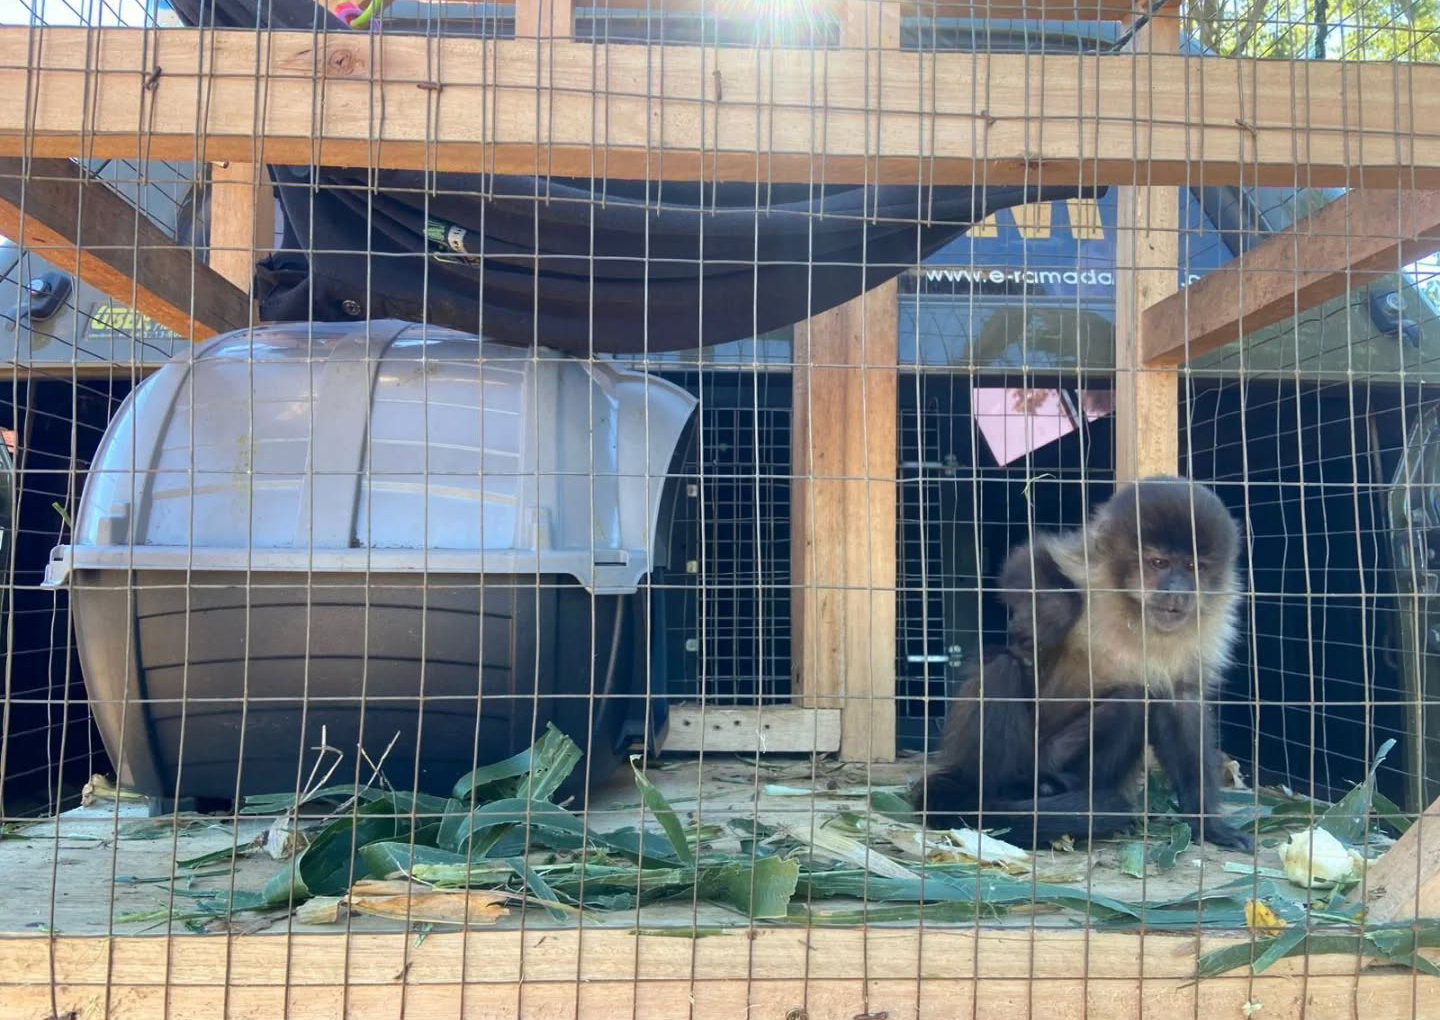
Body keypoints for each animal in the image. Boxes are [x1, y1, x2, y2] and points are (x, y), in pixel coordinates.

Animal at [909, 475, 1254, 853]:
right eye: (1159, 564)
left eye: (1193, 567)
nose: (1178, 590)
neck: (1136, 611)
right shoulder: (1092, 566)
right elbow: (1025, 564)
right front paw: (1053, 614)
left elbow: (1182, 703)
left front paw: (1209, 824)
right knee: (1001, 665)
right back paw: (991, 797)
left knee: (1134, 700)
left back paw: (1054, 790)